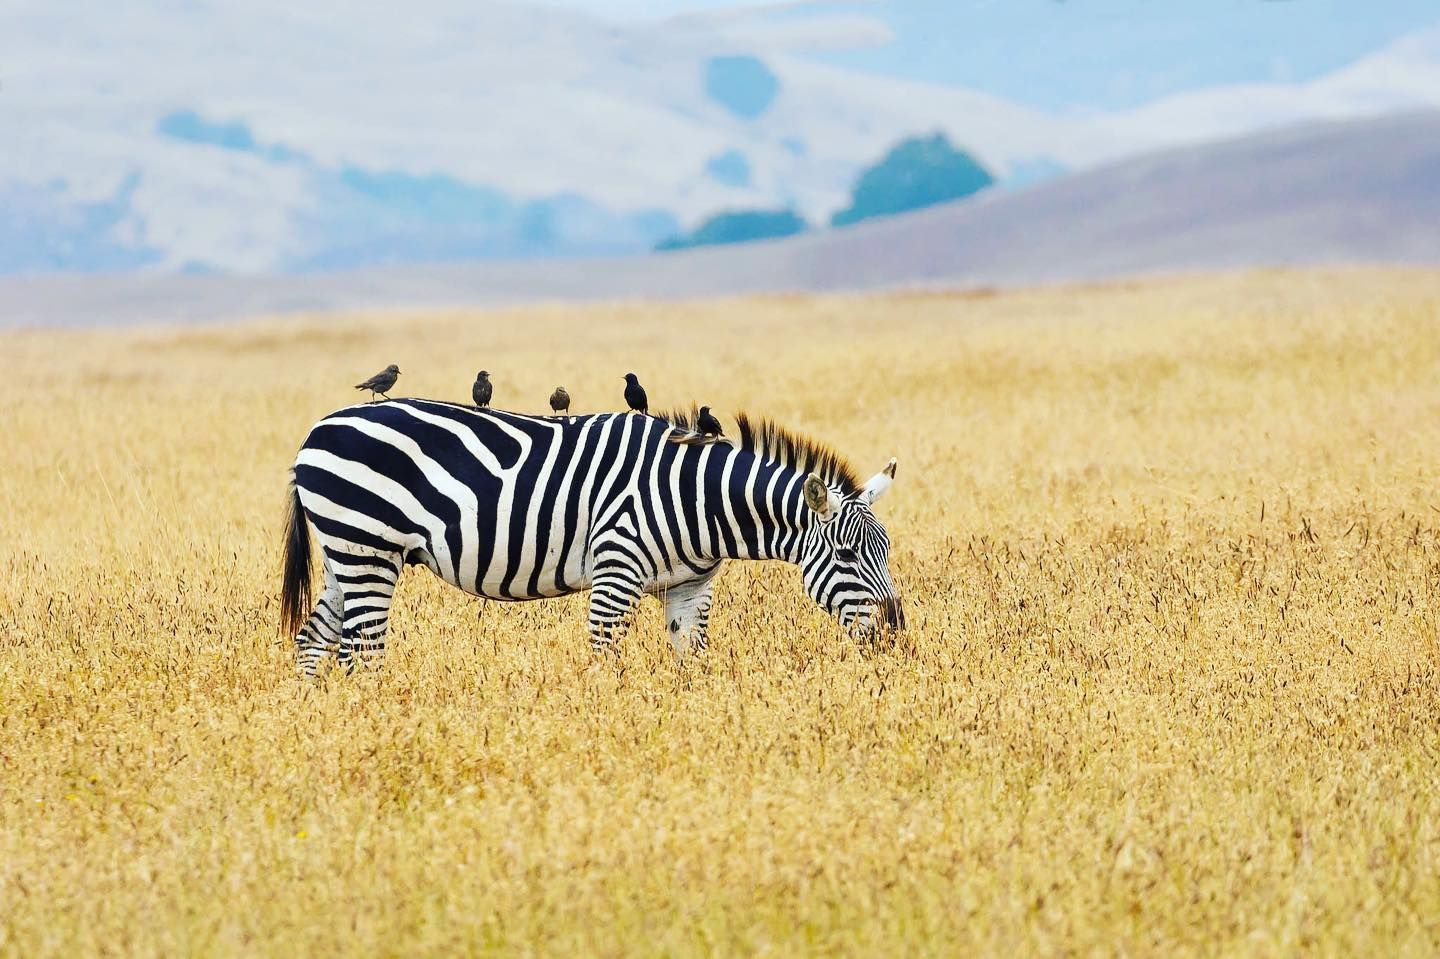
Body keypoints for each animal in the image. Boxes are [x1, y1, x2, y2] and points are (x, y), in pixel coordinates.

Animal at [279, 400, 904, 674]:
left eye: (886, 552)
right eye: (847, 554)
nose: (895, 633)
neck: (698, 501)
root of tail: (318, 428)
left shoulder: (690, 587)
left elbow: (691, 661)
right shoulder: (615, 570)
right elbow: (603, 658)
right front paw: (605, 724)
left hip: (344, 554)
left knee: (314, 640)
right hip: (368, 551)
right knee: (361, 651)